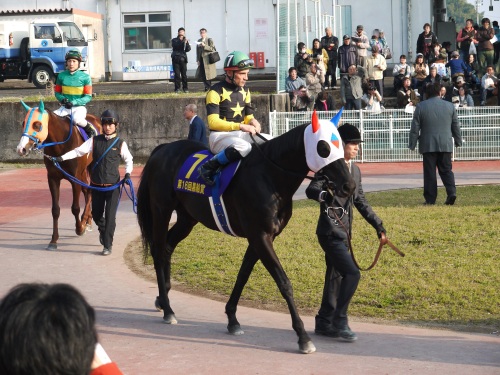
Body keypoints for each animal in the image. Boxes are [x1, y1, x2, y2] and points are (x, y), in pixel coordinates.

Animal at [15, 101, 101, 251]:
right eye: (23, 123)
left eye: (37, 124)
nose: (21, 149)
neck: (61, 146)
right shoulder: (53, 179)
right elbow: (55, 210)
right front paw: (53, 240)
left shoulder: (75, 179)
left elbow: (75, 207)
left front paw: (79, 228)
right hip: (84, 171)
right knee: (87, 190)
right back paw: (88, 220)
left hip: (91, 167)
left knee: (90, 190)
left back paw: (85, 220)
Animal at [137, 110, 356, 354]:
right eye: (323, 148)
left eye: (339, 145)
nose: (348, 185)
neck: (270, 175)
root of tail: (162, 149)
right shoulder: (260, 236)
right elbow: (283, 282)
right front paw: (303, 337)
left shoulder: (262, 237)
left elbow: (243, 275)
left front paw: (232, 319)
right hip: (161, 210)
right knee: (158, 251)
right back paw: (168, 309)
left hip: (187, 218)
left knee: (167, 247)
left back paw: (162, 297)